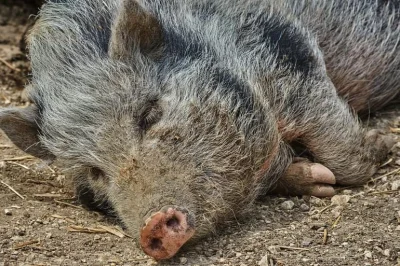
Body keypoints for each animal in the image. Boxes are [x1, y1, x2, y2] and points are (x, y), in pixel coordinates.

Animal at [0, 0, 398, 260]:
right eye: (95, 172)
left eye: (149, 114)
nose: (152, 225)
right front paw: (317, 179)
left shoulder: (290, 53)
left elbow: (336, 141)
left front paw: (382, 145)